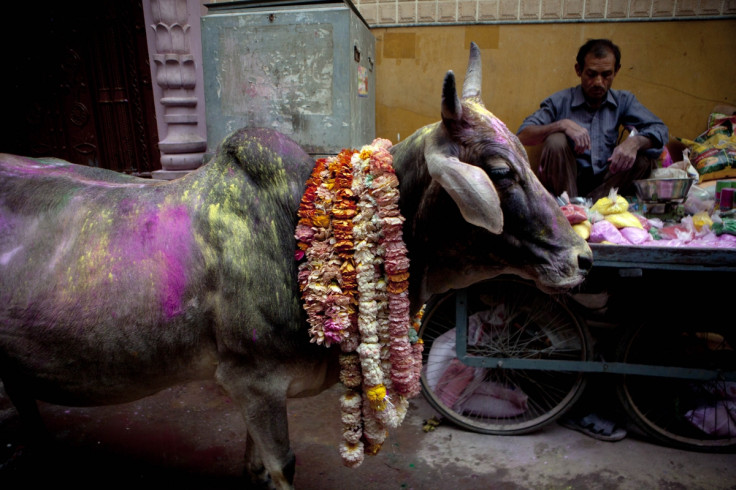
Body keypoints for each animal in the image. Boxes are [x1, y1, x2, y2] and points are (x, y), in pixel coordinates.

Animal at [0, 43, 592, 490]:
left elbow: (258, 465)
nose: (581, 257)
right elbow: (281, 465)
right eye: (500, 170)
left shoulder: (256, 394)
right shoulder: (251, 380)